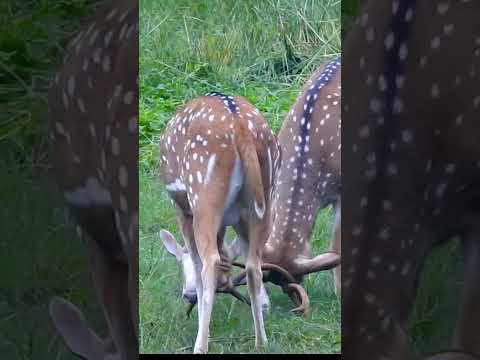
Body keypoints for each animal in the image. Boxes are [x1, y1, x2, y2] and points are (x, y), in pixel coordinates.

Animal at [158, 91, 288, 352]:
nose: (186, 296)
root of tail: (239, 126)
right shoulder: (237, 219)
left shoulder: (182, 209)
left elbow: (197, 265)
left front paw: (202, 328)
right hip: (263, 200)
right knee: (253, 266)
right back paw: (261, 341)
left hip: (203, 194)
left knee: (210, 261)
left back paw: (200, 346)